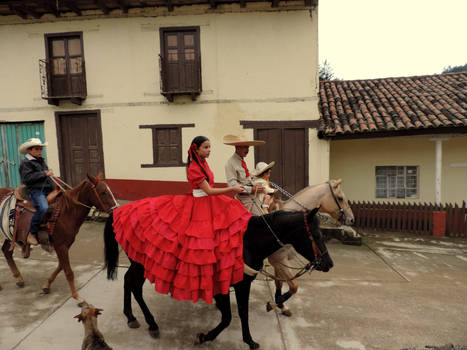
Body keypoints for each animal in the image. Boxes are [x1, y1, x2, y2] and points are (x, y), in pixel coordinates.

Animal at [0, 174, 117, 304]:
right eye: (103, 192)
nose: (116, 209)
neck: (67, 212)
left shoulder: (65, 245)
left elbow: (61, 265)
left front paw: (47, 285)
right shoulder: (61, 246)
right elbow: (69, 272)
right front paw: (77, 297)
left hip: (9, 235)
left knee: (6, 251)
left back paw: (19, 279)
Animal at [104, 208, 334, 350]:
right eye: (316, 235)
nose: (328, 264)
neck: (247, 242)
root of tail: (119, 211)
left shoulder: (242, 284)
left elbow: (241, 312)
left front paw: (249, 341)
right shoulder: (223, 285)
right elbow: (228, 317)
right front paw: (205, 336)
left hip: (138, 263)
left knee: (127, 281)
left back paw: (131, 317)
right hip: (141, 264)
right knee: (135, 286)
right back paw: (151, 323)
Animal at [266, 179, 354, 316]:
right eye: (340, 198)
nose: (351, 219)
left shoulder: (280, 262)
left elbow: (279, 282)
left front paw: (282, 306)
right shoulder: (278, 260)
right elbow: (293, 286)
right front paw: (273, 304)